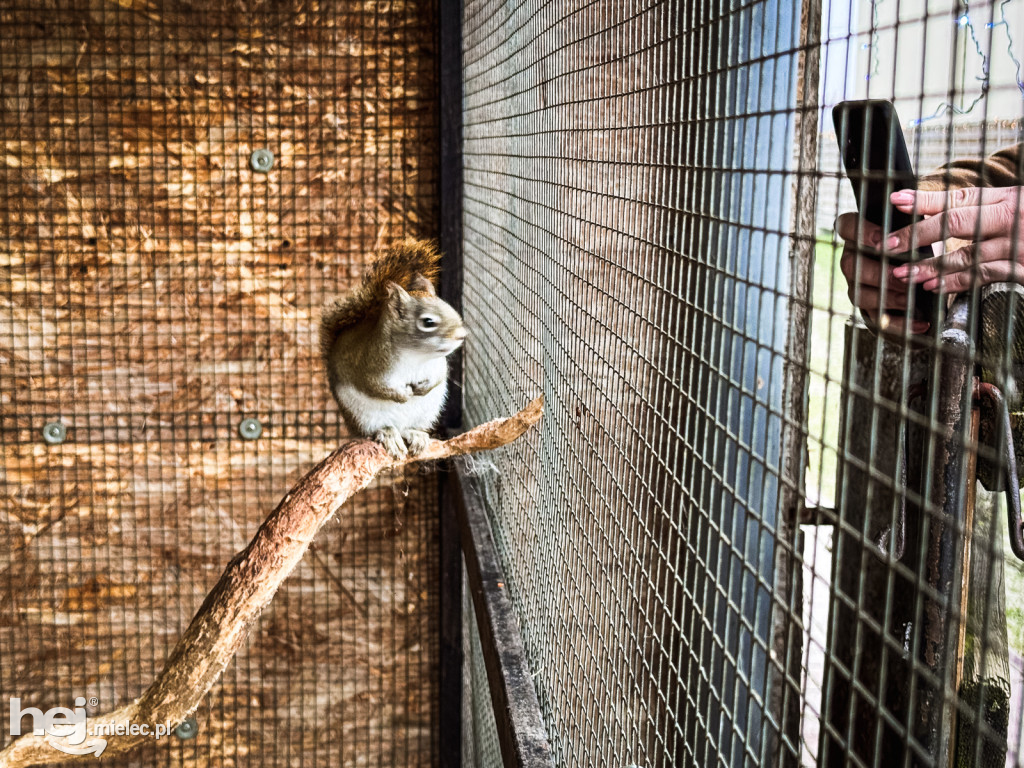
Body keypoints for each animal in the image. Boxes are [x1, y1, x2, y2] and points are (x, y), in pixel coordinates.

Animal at [319, 240, 468, 456]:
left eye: (449, 307)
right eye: (428, 322)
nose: (461, 335)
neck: (417, 355)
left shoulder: (438, 365)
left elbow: (440, 377)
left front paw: (422, 389)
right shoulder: (371, 366)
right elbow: (375, 386)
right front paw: (402, 395)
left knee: (408, 428)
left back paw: (415, 434)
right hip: (363, 417)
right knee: (377, 429)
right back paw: (388, 434)